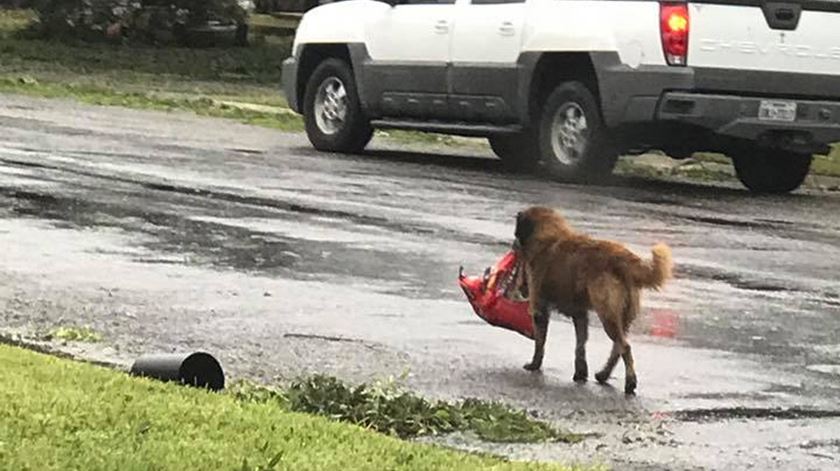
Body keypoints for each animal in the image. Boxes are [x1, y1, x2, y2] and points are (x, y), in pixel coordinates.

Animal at [508, 206, 672, 394]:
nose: (513, 244)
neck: (549, 235)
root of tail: (622, 257)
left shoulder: (540, 309)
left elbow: (540, 342)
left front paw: (535, 365)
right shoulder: (580, 314)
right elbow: (580, 345)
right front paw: (580, 373)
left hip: (608, 315)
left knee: (624, 346)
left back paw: (630, 382)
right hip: (622, 317)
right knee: (618, 347)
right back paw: (603, 375)